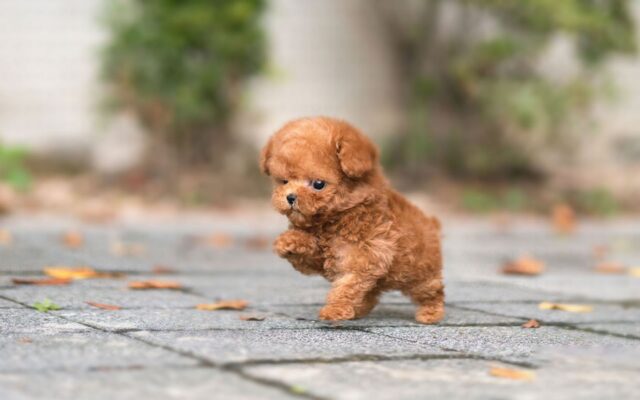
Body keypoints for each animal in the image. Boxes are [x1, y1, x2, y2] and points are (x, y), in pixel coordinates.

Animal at [260, 117, 444, 324]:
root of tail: (432, 223)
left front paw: (334, 310)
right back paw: (360, 309)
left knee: (432, 291)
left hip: (419, 273)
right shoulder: (324, 259)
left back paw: (430, 313)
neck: (336, 218)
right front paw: (288, 242)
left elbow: (347, 286)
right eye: (284, 181)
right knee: (371, 292)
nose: (290, 197)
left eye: (318, 184)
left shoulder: (365, 258)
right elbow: (311, 251)